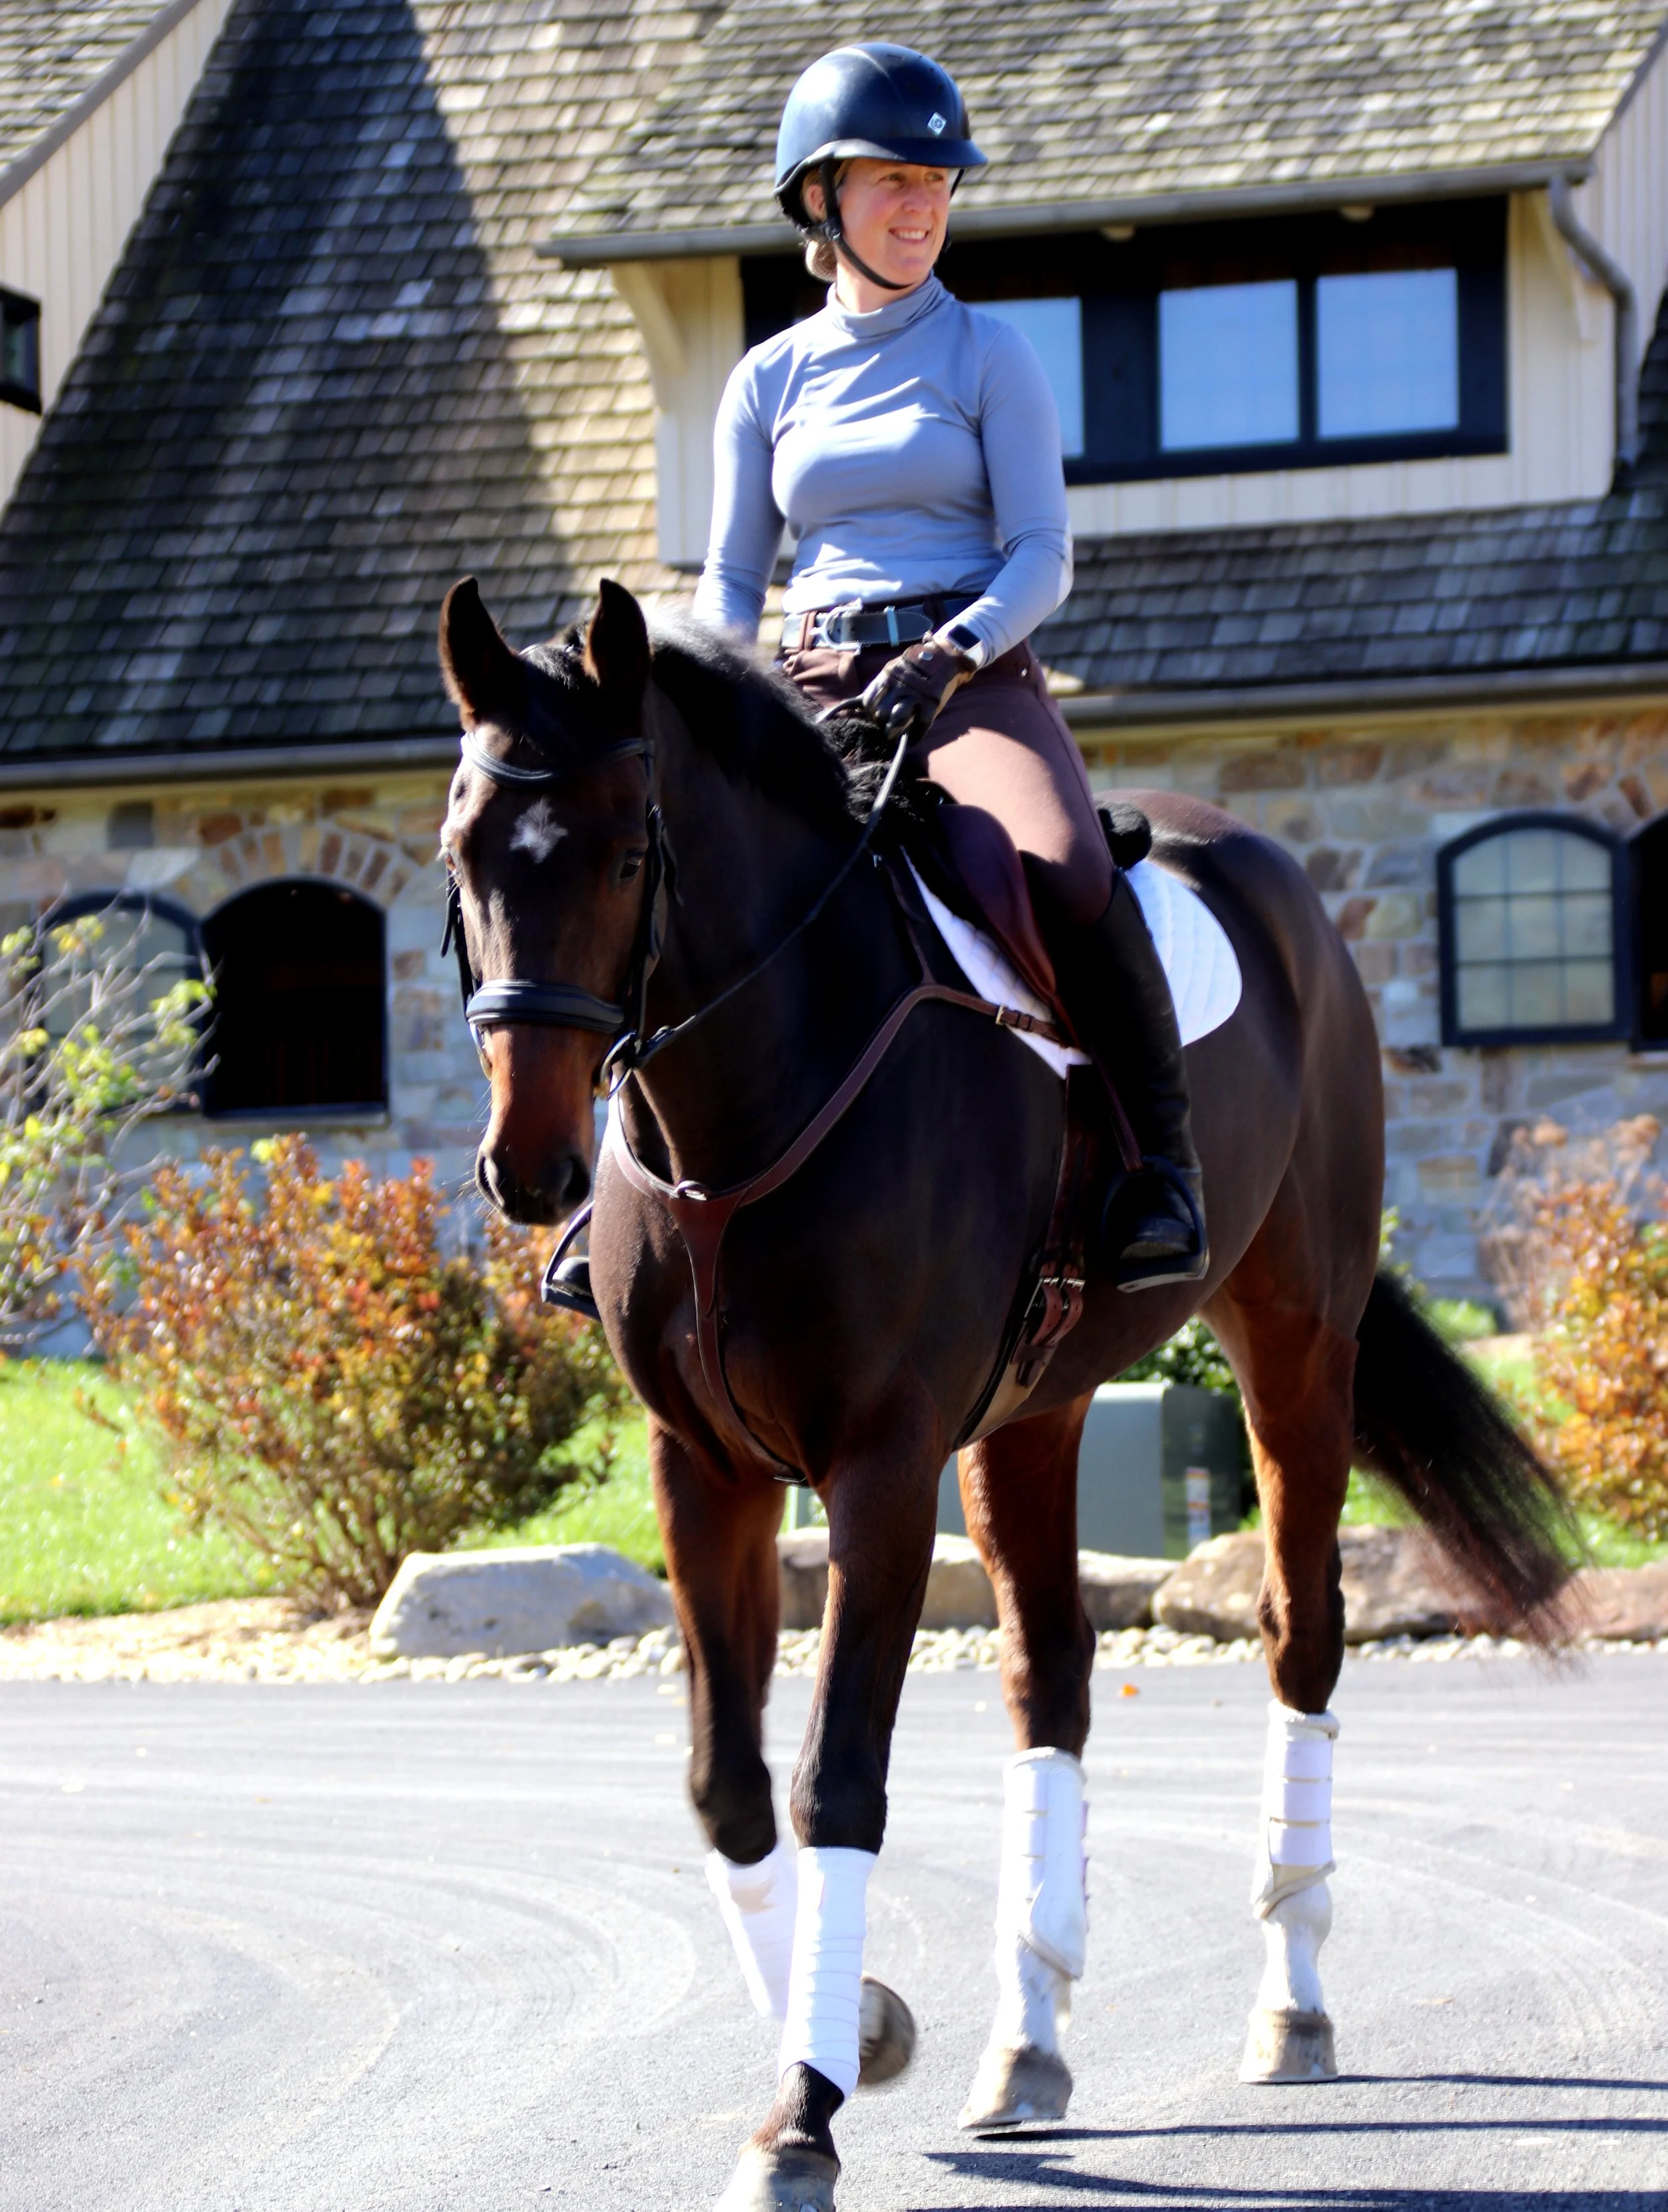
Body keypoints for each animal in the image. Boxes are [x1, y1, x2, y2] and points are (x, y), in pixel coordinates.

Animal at [437, 574, 1571, 2212]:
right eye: (462, 852)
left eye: (630, 849)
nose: (527, 1168)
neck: (750, 1095)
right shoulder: (702, 1465)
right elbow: (727, 1785)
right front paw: (856, 2023)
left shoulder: (879, 1464)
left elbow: (836, 1780)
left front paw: (804, 2110)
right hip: (1031, 1415)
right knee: (1053, 1673)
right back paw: (1028, 2044)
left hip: (1295, 1341)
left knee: (1301, 1632)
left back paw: (1290, 1999)